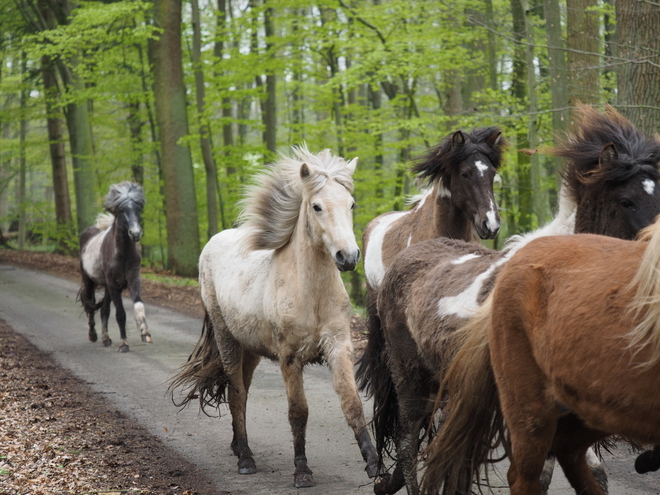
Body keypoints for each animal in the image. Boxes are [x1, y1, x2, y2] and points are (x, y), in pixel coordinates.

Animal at [78, 181, 149, 352]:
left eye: (137, 208)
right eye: (122, 210)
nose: (135, 234)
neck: (122, 253)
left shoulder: (133, 279)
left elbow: (138, 306)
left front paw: (145, 333)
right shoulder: (113, 284)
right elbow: (120, 314)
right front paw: (124, 344)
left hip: (107, 287)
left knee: (104, 310)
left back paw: (106, 339)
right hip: (90, 282)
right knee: (90, 306)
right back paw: (93, 335)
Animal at [168, 146, 378, 488]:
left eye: (351, 204)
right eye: (317, 206)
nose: (347, 257)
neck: (311, 292)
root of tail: (213, 243)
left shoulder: (339, 346)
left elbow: (352, 402)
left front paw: (375, 464)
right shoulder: (290, 358)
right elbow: (298, 411)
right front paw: (302, 470)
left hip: (250, 351)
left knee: (242, 390)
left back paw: (238, 445)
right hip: (227, 340)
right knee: (236, 393)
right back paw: (245, 458)